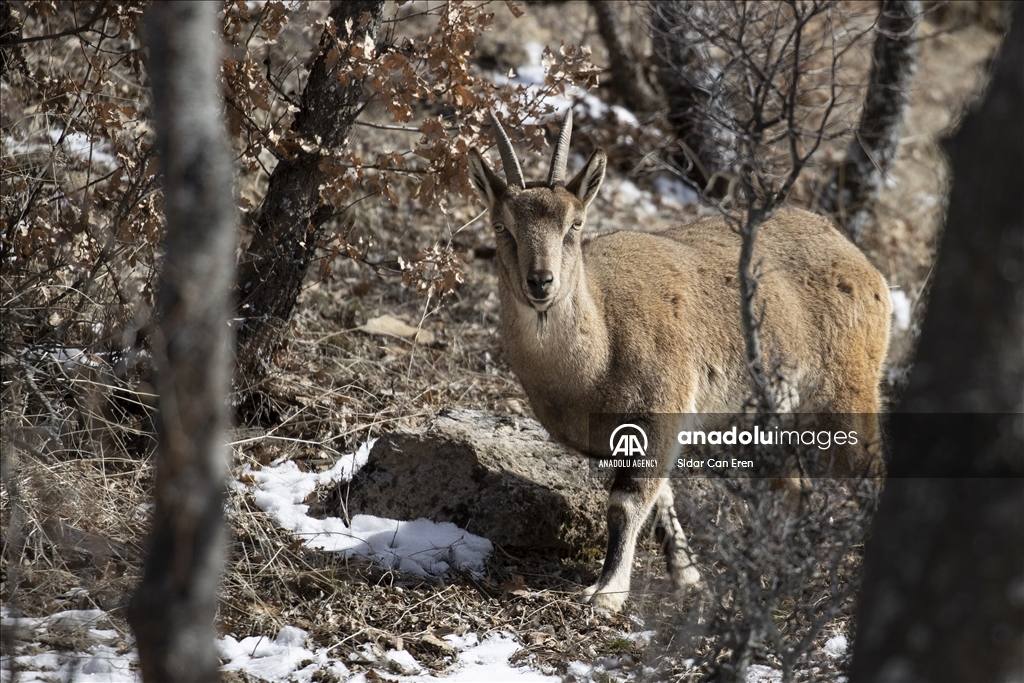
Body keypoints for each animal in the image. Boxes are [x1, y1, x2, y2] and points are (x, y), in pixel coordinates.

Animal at [468, 109, 892, 610]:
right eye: (502, 226)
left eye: (575, 224)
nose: (540, 282)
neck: (597, 354)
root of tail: (866, 268)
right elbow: (661, 497)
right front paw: (688, 577)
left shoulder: (661, 410)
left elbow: (627, 503)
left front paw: (608, 592)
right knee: (792, 486)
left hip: (848, 396)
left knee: (869, 476)